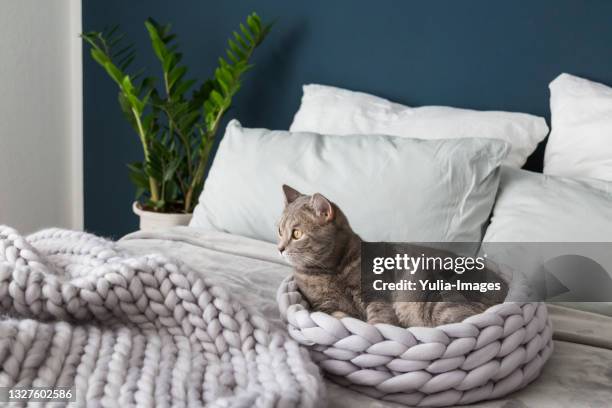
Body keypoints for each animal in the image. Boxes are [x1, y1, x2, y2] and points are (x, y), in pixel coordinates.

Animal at [278, 186, 506, 326]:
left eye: (296, 234)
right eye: (280, 230)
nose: (280, 248)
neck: (332, 271)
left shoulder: (374, 293)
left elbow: (379, 318)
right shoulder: (326, 307)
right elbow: (342, 317)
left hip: (438, 299)